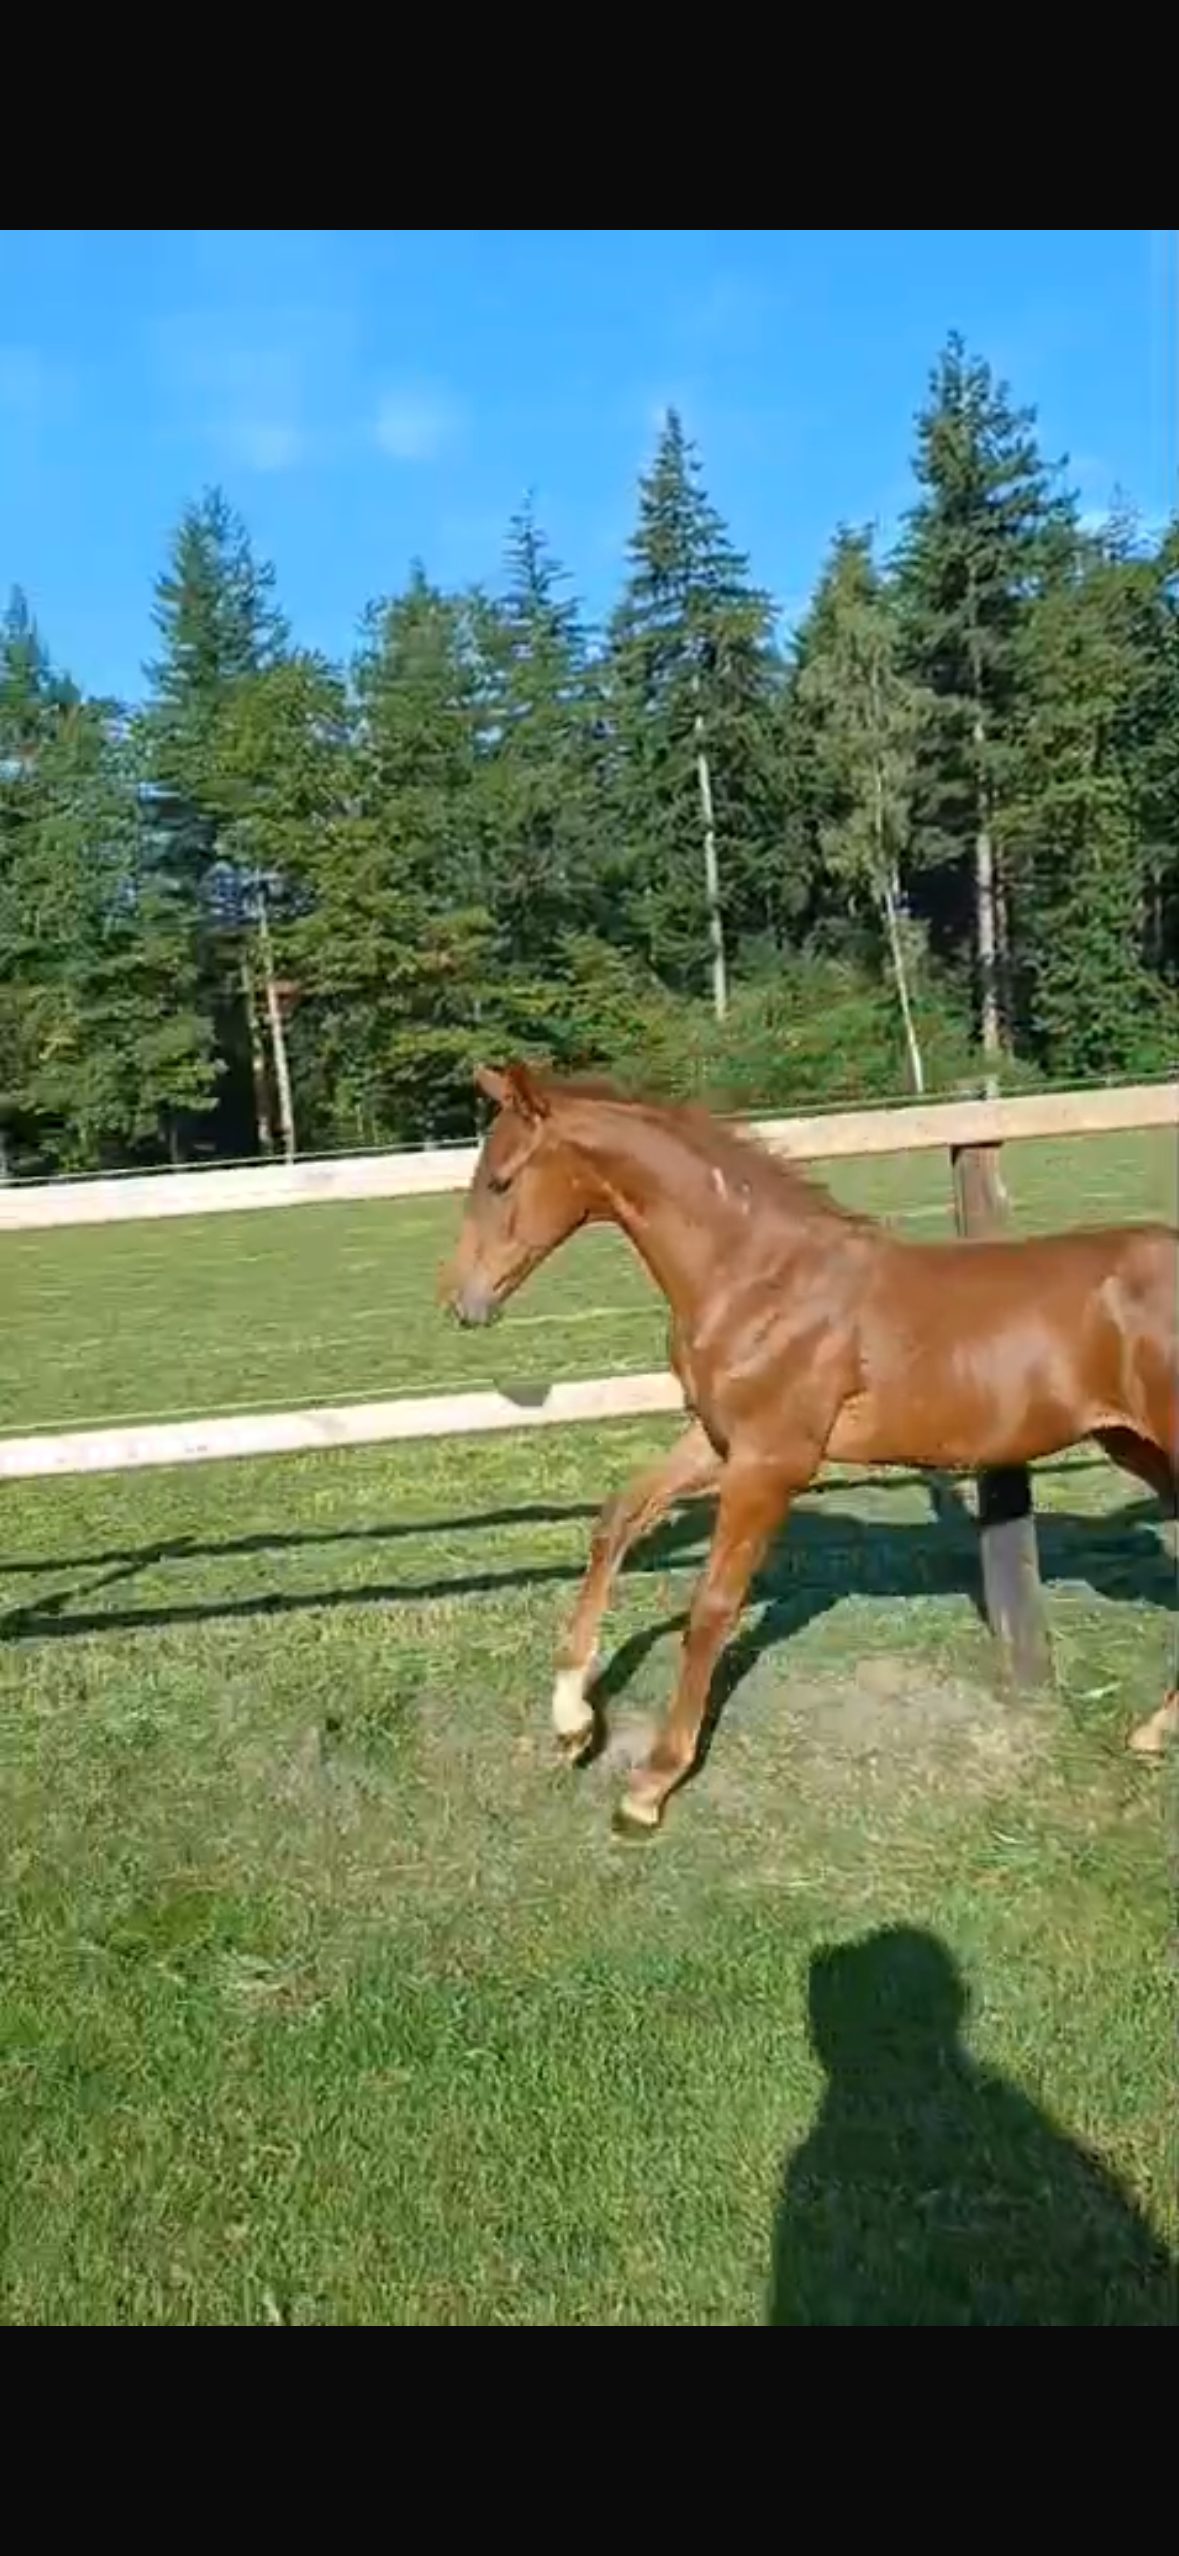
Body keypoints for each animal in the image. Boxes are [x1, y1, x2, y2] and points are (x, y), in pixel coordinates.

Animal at [441, 1061, 1179, 1837]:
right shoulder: (719, 1441)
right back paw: (1153, 1731)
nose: (462, 1302)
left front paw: (650, 1785)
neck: (759, 1277)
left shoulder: (772, 1464)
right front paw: (572, 1720)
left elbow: (712, 1606)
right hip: (1132, 1445)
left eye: (500, 1181)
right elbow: (618, 1518)